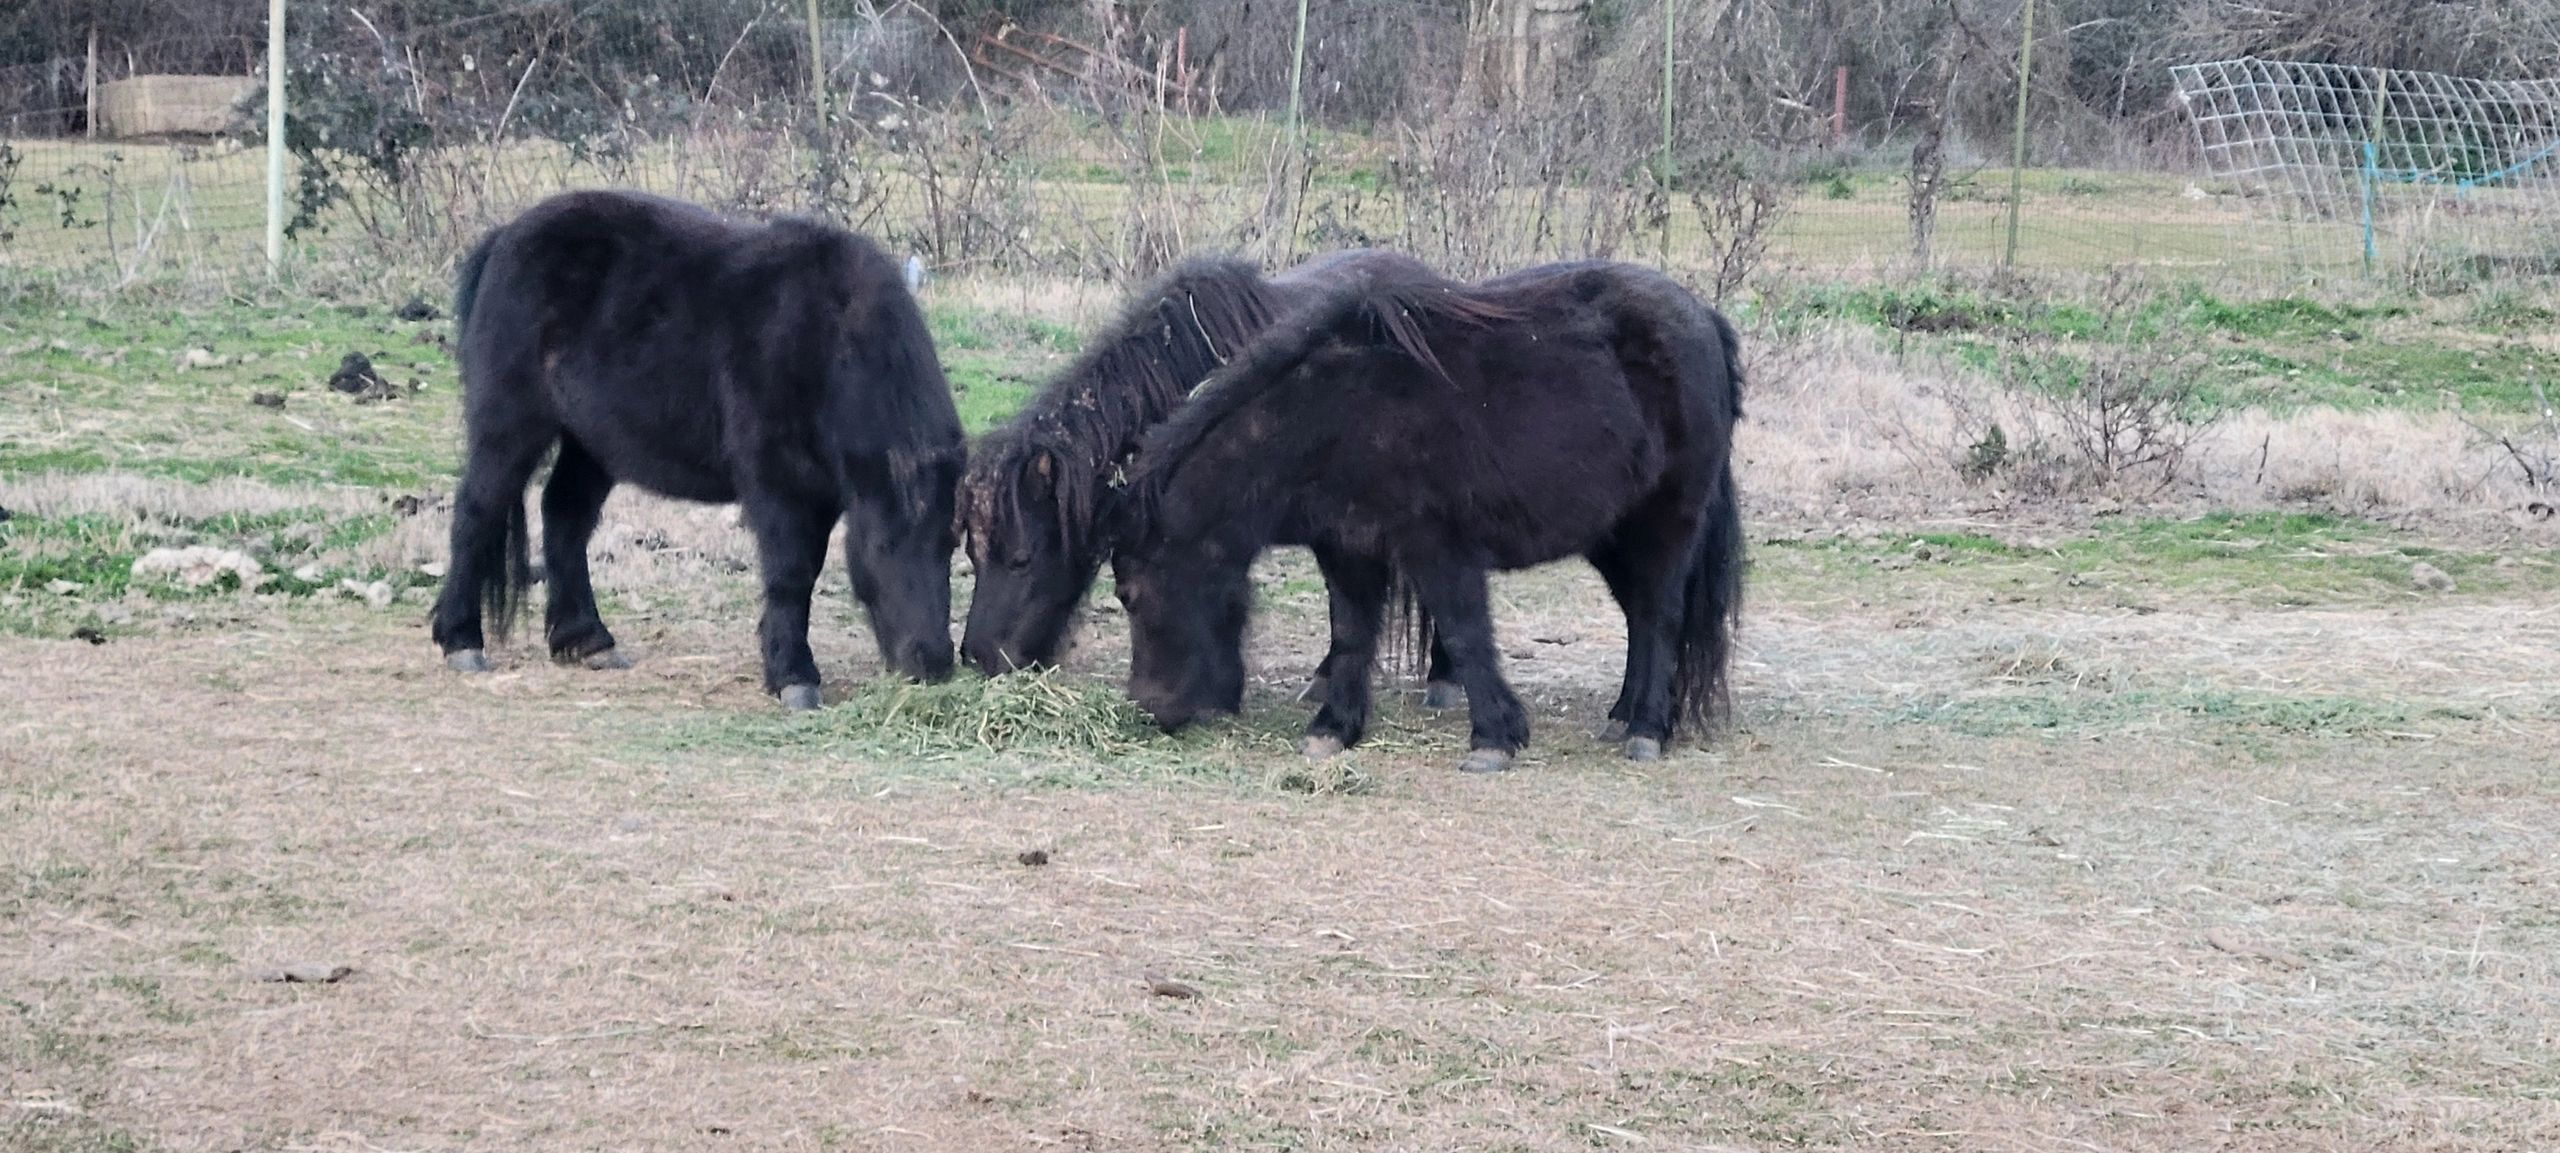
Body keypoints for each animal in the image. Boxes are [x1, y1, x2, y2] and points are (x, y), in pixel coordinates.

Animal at [429, 190, 964, 710]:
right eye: (883, 544)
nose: (933, 663)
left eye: (951, 544)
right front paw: (793, 677)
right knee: (477, 511)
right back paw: (461, 640)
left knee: (565, 516)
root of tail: (504, 238)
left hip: (592, 445)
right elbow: (792, 574)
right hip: (510, 428)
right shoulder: (779, 486)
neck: (827, 338)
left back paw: (587, 640)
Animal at [1111, 260, 1746, 772]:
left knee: (1659, 616)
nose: (1149, 709)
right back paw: (1622, 715)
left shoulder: (1436, 550)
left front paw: (1493, 738)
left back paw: (1646, 730)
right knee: (1639, 615)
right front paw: (1333, 729)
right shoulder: (1348, 548)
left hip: (1668, 521)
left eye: (1130, 596)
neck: (1331, 418)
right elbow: (1350, 635)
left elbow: (1465, 634)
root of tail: (1704, 320)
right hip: (1613, 535)